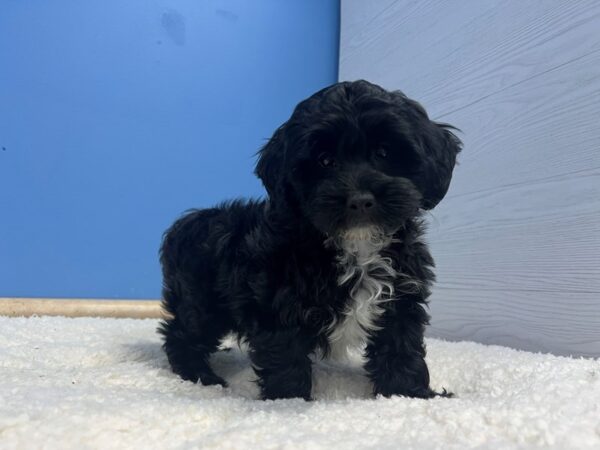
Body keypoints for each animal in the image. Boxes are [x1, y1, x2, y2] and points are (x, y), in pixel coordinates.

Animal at [158, 79, 460, 400]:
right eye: (325, 161)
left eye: (384, 152)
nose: (360, 200)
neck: (356, 246)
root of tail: (186, 223)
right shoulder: (277, 299)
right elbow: (285, 351)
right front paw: (286, 399)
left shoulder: (401, 296)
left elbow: (401, 345)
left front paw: (408, 394)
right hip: (202, 302)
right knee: (181, 333)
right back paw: (199, 375)